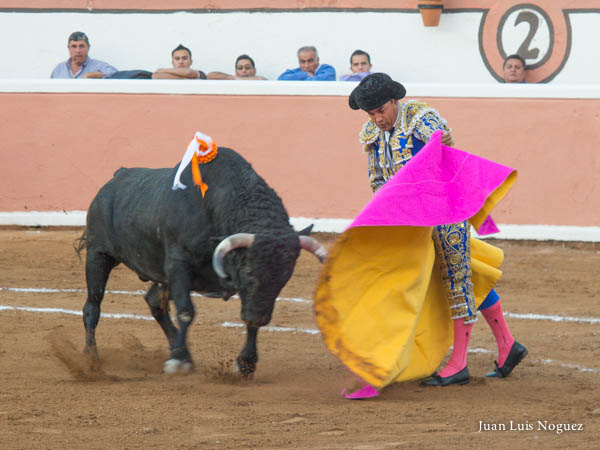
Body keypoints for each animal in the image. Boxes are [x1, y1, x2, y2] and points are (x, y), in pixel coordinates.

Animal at [76, 146, 327, 377]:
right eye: (248, 271)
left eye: (284, 277)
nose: (260, 317)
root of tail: (116, 177)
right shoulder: (178, 264)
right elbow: (186, 310)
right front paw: (178, 361)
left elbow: (246, 318)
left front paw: (245, 363)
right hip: (98, 254)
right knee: (92, 307)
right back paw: (91, 359)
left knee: (154, 301)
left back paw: (180, 349)